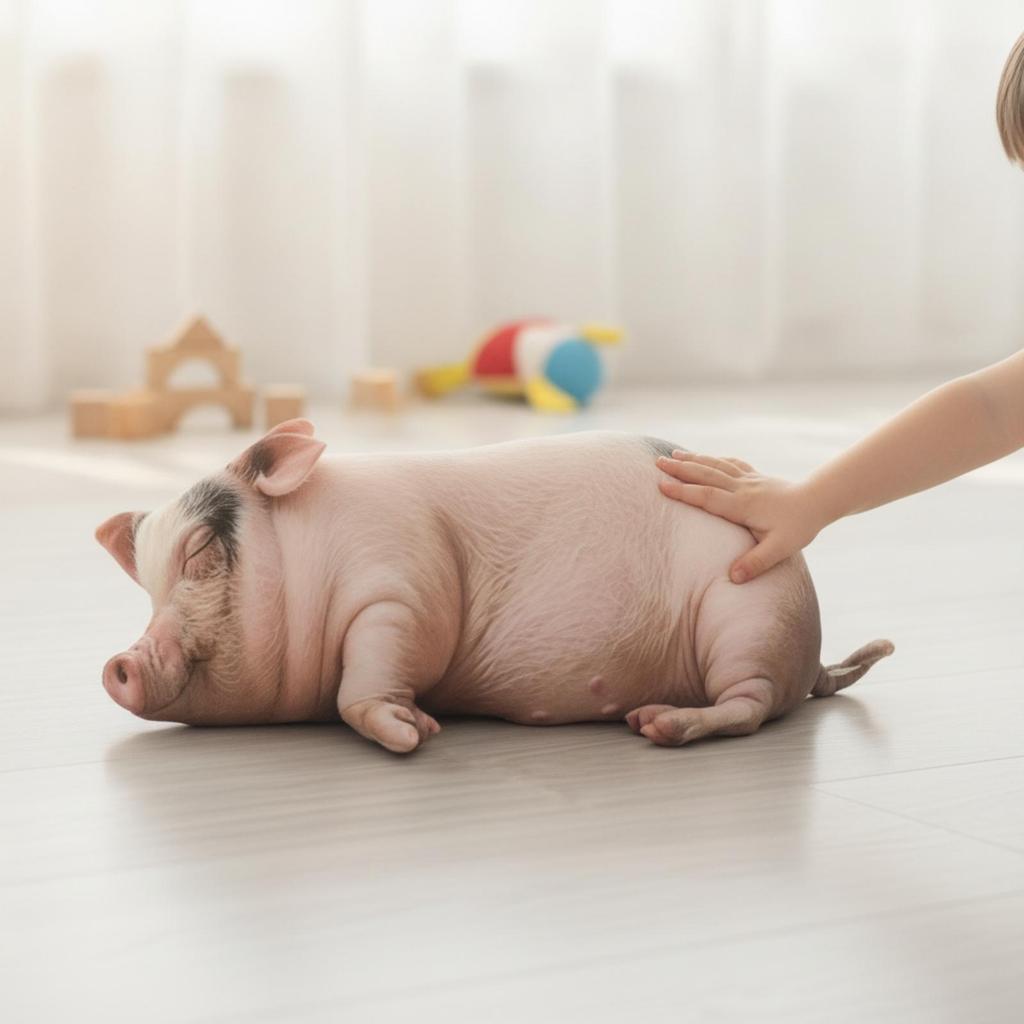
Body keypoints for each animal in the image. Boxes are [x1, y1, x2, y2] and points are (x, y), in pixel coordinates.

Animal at [95, 421, 893, 752]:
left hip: (750, 609)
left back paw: (656, 726)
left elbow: (369, 679)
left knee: (750, 706)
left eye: (201, 553)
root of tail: (814, 659)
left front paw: (413, 733)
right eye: (148, 588)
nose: (118, 664)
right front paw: (417, 726)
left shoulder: (402, 587)